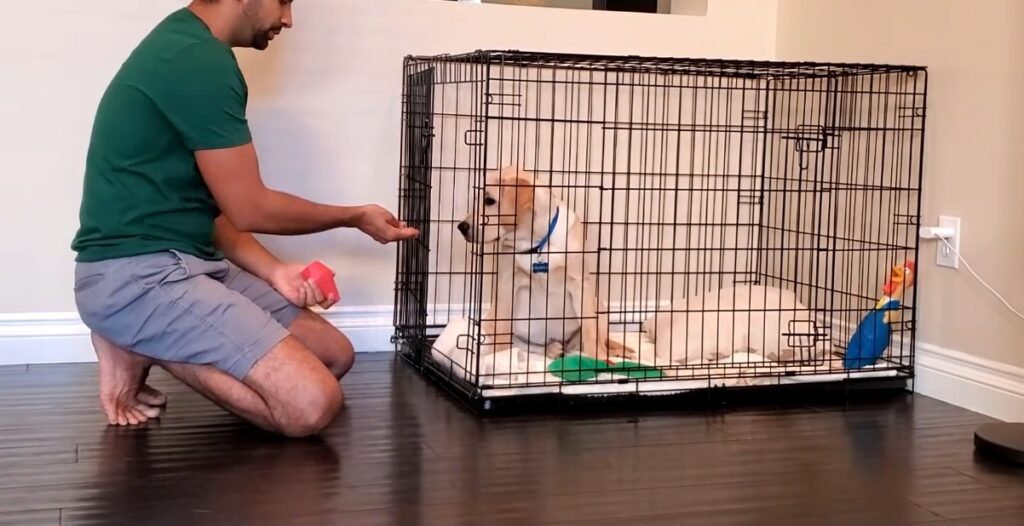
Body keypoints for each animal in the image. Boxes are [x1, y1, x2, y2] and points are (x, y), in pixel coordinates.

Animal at [458, 164, 630, 360]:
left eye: (489, 201)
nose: (461, 227)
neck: (536, 243)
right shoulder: (507, 282)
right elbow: (502, 332)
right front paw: (498, 357)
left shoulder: (580, 283)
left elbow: (590, 331)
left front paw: (599, 360)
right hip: (491, 320)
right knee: (523, 344)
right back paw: (551, 349)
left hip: (598, 305)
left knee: (601, 341)